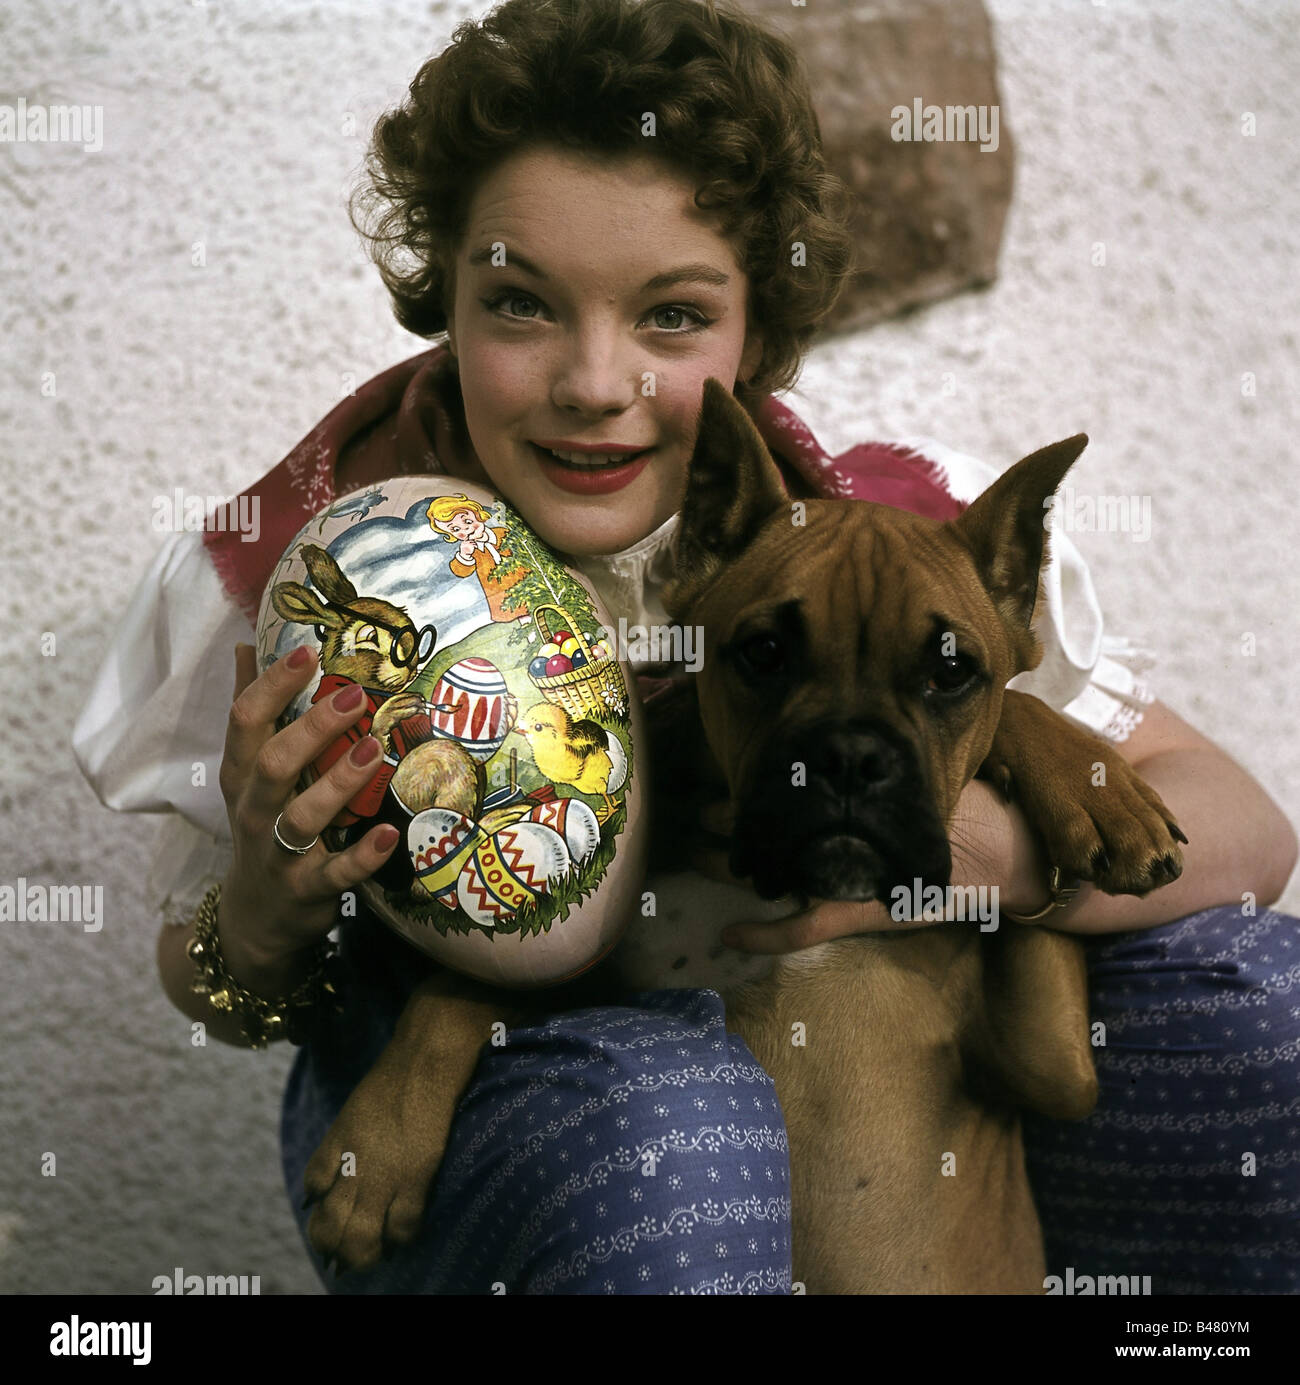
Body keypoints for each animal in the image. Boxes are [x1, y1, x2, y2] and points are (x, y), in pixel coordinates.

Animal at [304, 376, 1190, 1285]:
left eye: (951, 671)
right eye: (763, 652)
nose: (849, 755)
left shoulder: (1053, 1067)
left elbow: (1023, 713)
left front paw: (1094, 788)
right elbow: (466, 986)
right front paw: (381, 1144)